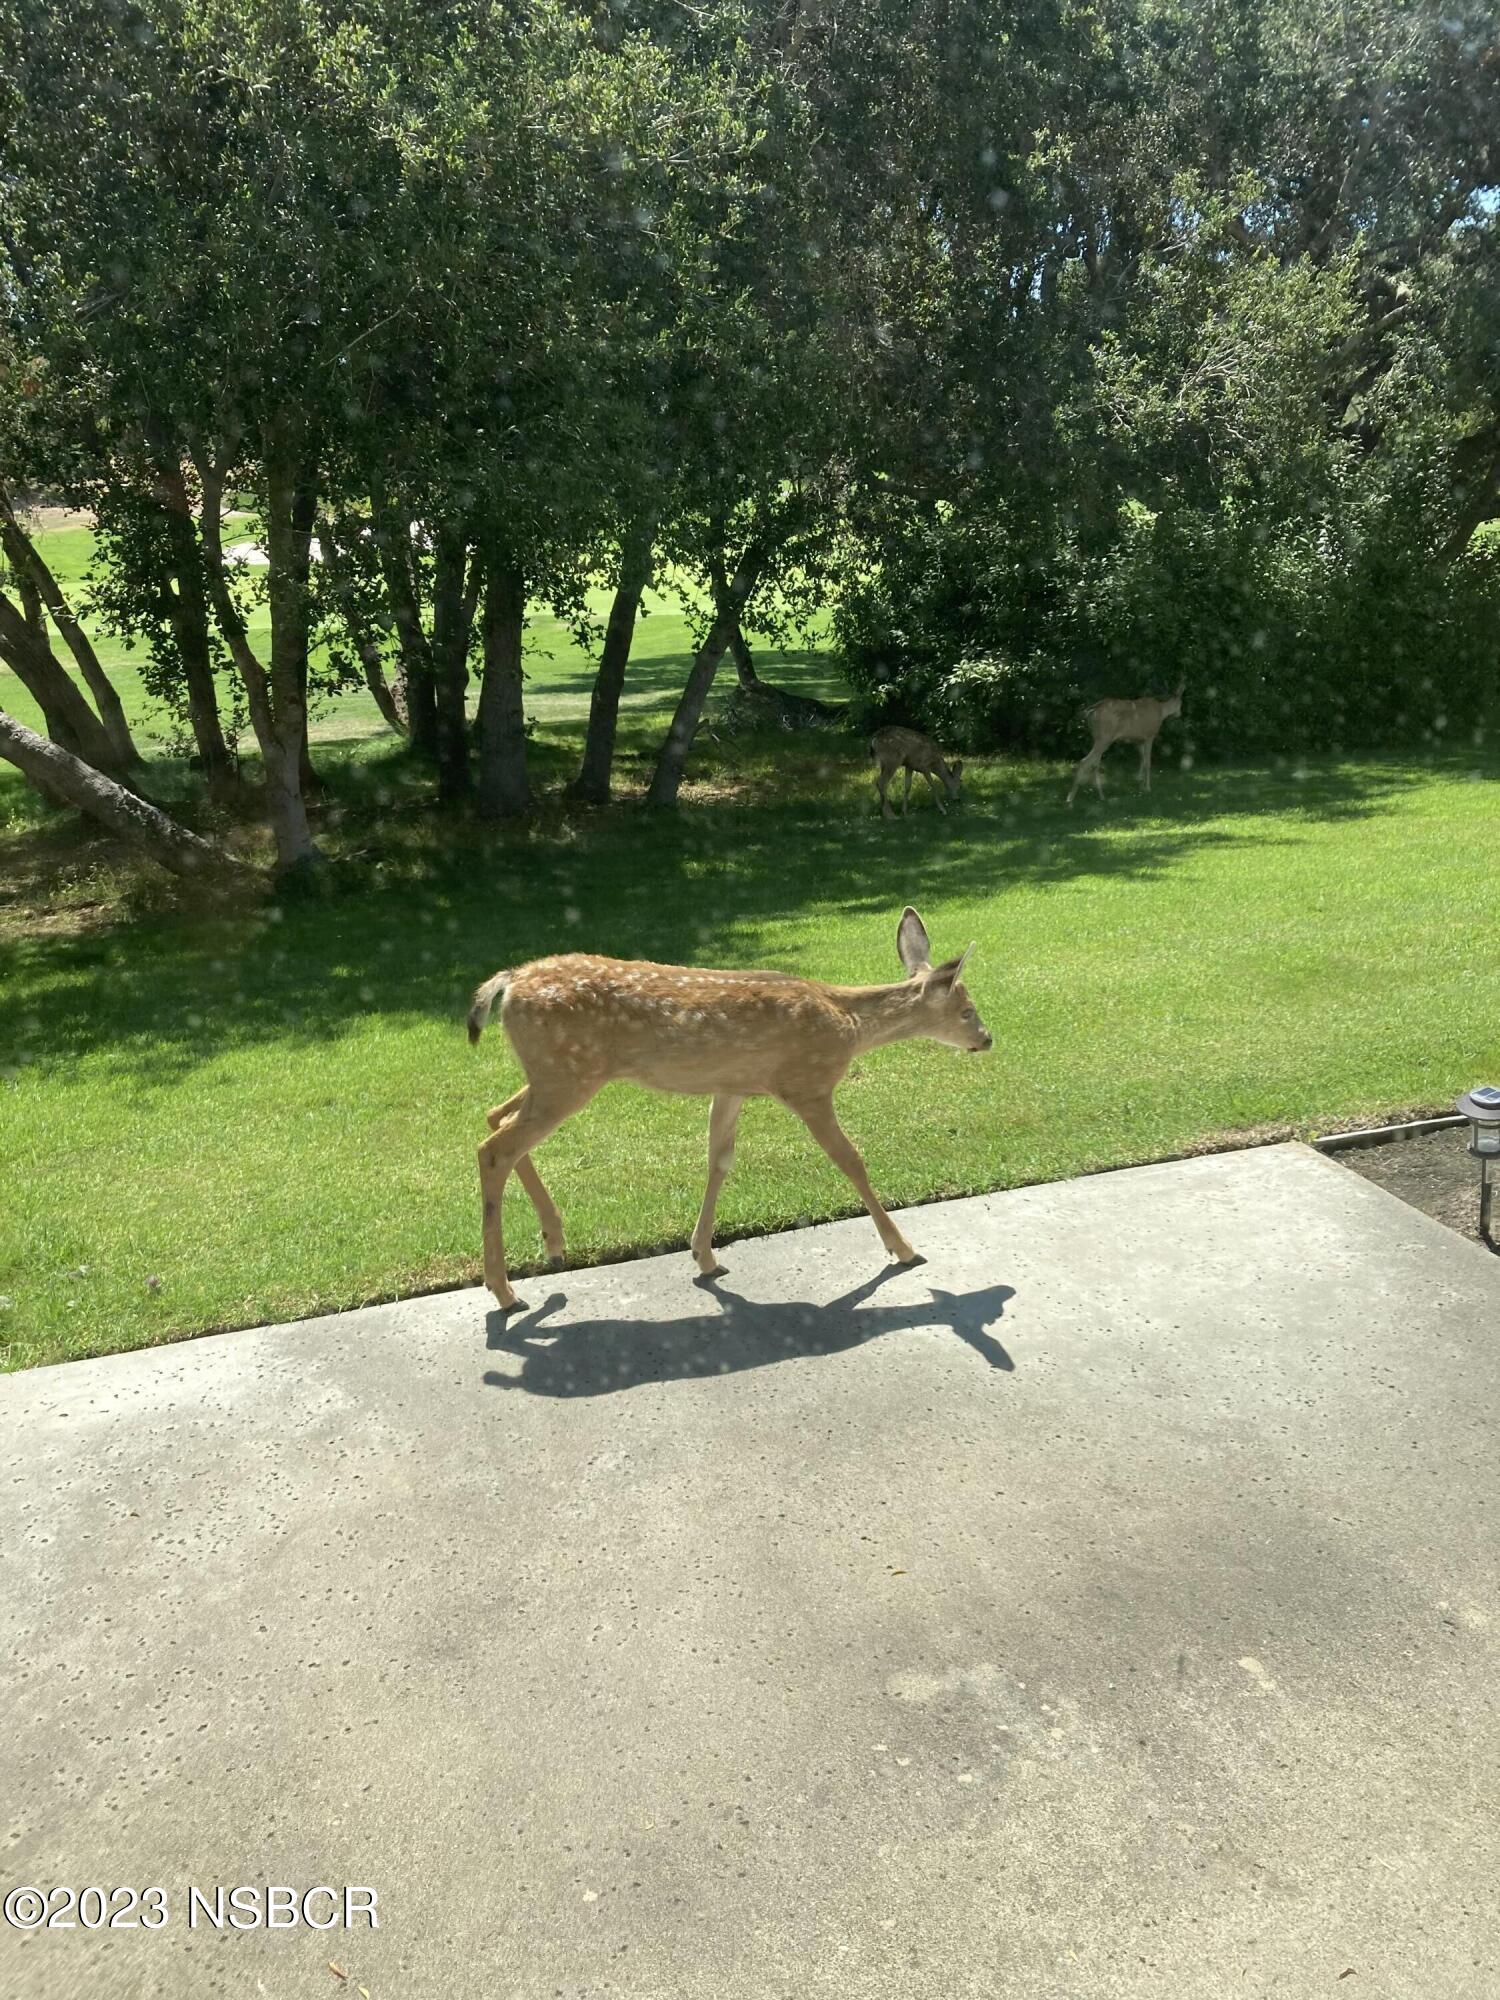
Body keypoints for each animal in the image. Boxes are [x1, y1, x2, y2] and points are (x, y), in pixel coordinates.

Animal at [467, 907, 992, 1310]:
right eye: (967, 1011)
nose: (987, 1039)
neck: (848, 1023)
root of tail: (509, 983)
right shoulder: (807, 1084)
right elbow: (850, 1160)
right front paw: (903, 1249)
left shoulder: (732, 1086)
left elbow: (718, 1160)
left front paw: (705, 1257)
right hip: (567, 1076)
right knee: (495, 1147)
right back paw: (505, 1291)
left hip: (555, 1074)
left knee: (496, 1116)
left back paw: (554, 1243)